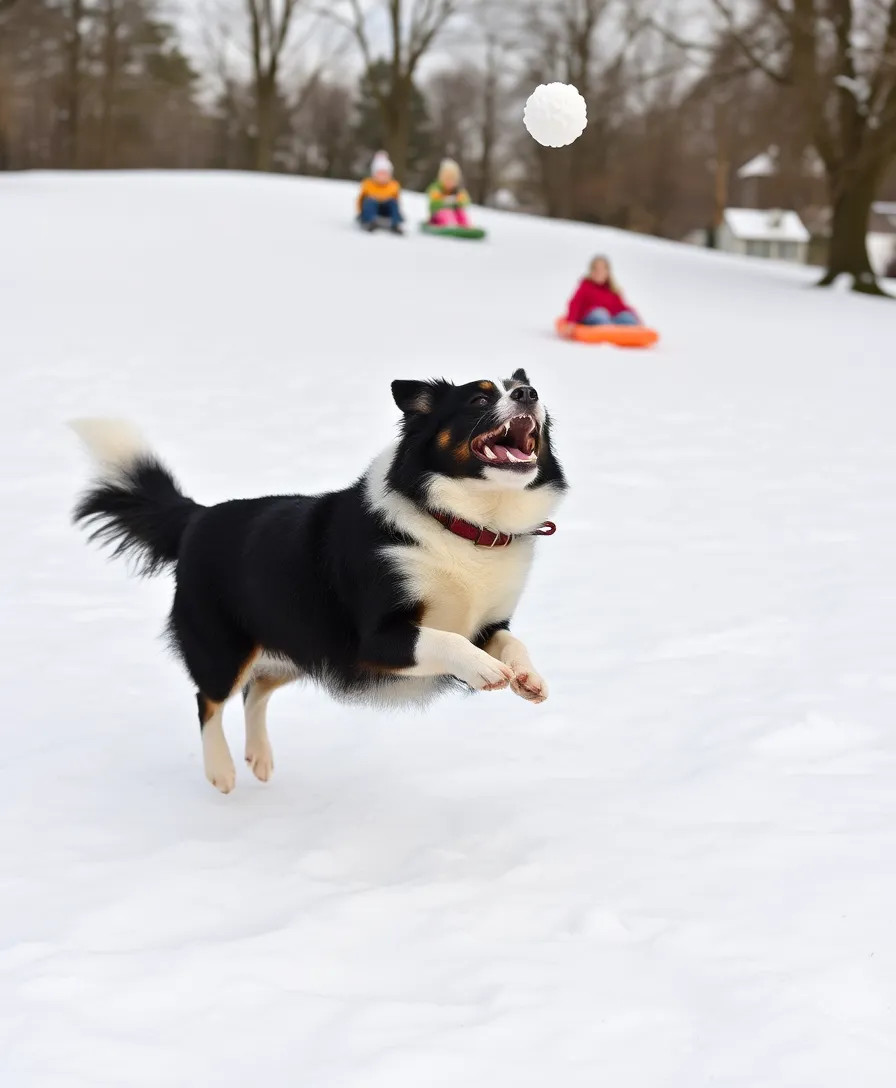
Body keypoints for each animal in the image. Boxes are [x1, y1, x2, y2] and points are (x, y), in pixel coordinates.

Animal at [75, 372, 565, 792]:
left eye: (521, 387)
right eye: (479, 399)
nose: (530, 394)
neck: (463, 524)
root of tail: (197, 518)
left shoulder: (488, 624)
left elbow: (510, 642)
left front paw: (528, 677)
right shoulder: (375, 639)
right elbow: (448, 640)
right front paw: (484, 670)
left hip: (299, 644)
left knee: (256, 690)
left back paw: (259, 756)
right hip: (223, 646)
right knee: (209, 699)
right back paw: (221, 770)